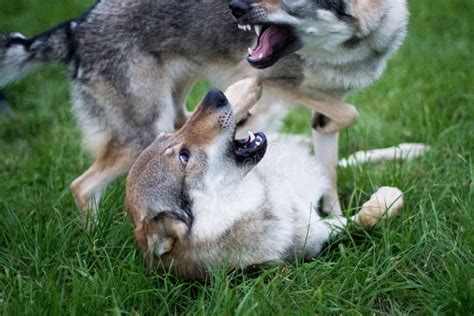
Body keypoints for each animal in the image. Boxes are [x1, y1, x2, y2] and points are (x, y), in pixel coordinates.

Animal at [0, 0, 410, 221]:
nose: (235, 7)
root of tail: (77, 27)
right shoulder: (275, 81)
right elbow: (351, 113)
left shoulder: (320, 112)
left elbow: (330, 167)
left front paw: (338, 217)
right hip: (144, 132)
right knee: (81, 186)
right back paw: (97, 245)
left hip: (174, 104)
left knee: (188, 123)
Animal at [127, 82, 408, 278]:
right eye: (183, 157)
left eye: (169, 135)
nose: (214, 94)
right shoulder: (317, 232)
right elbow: (370, 217)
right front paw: (388, 197)